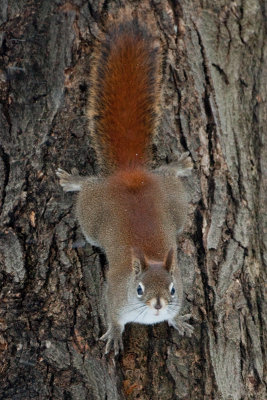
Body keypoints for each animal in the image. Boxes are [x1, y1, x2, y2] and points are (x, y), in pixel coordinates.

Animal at [57, 17, 195, 354]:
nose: (158, 305)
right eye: (140, 288)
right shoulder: (114, 295)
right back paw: (74, 181)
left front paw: (178, 321)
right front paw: (115, 334)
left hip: (177, 204)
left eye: (173, 290)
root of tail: (131, 176)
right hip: (91, 217)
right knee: (89, 187)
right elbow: (112, 315)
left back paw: (178, 165)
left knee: (167, 173)